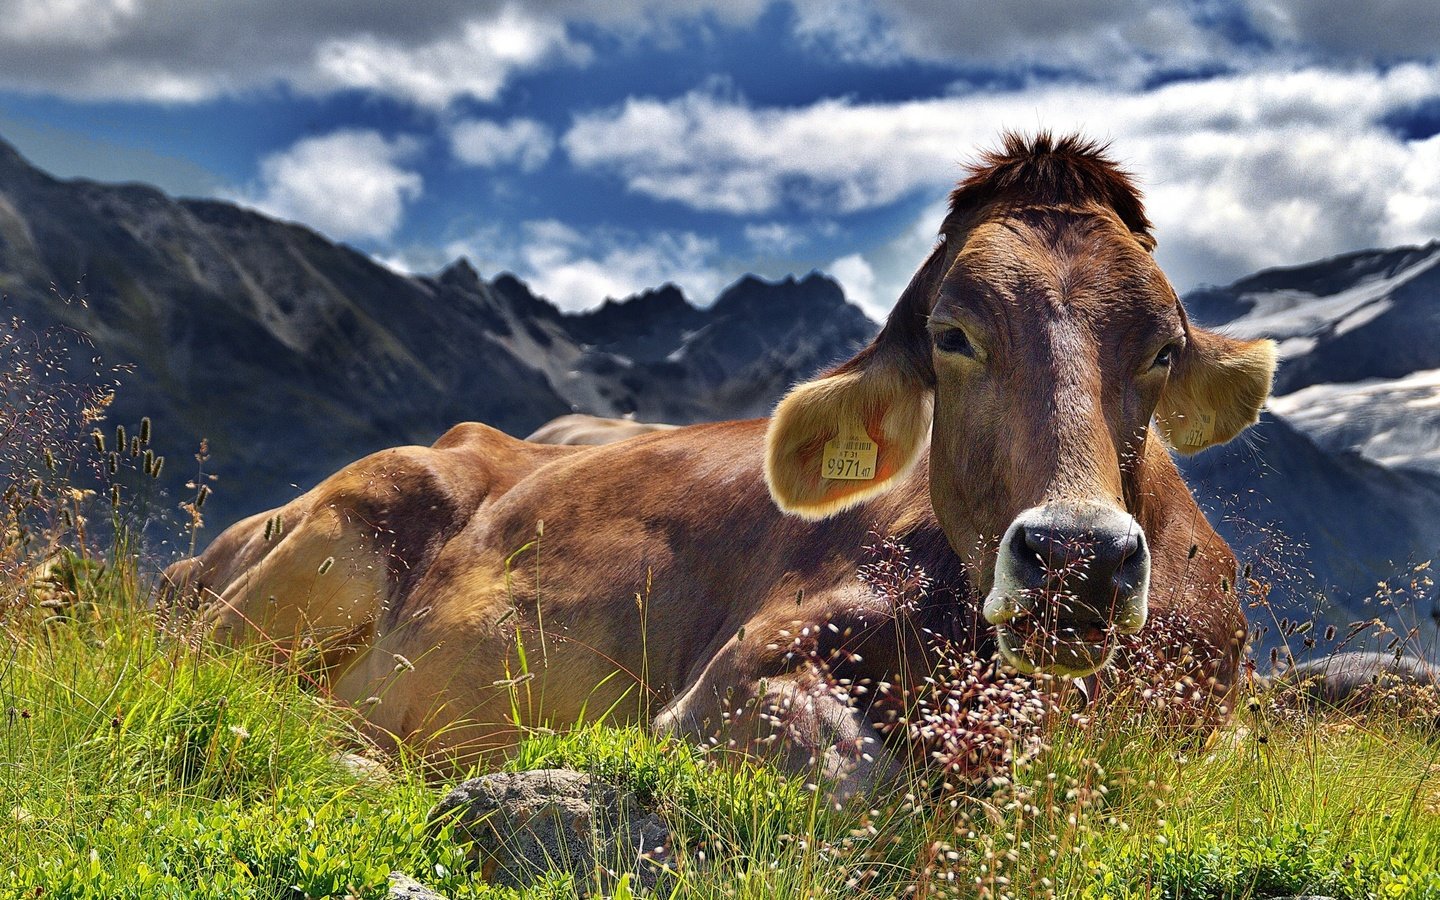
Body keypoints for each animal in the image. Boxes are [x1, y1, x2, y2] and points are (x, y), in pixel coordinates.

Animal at [163, 131, 1278, 794]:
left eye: (1163, 346)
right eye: (953, 334)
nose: (1076, 558)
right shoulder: (734, 680)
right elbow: (860, 780)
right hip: (345, 528)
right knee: (224, 679)